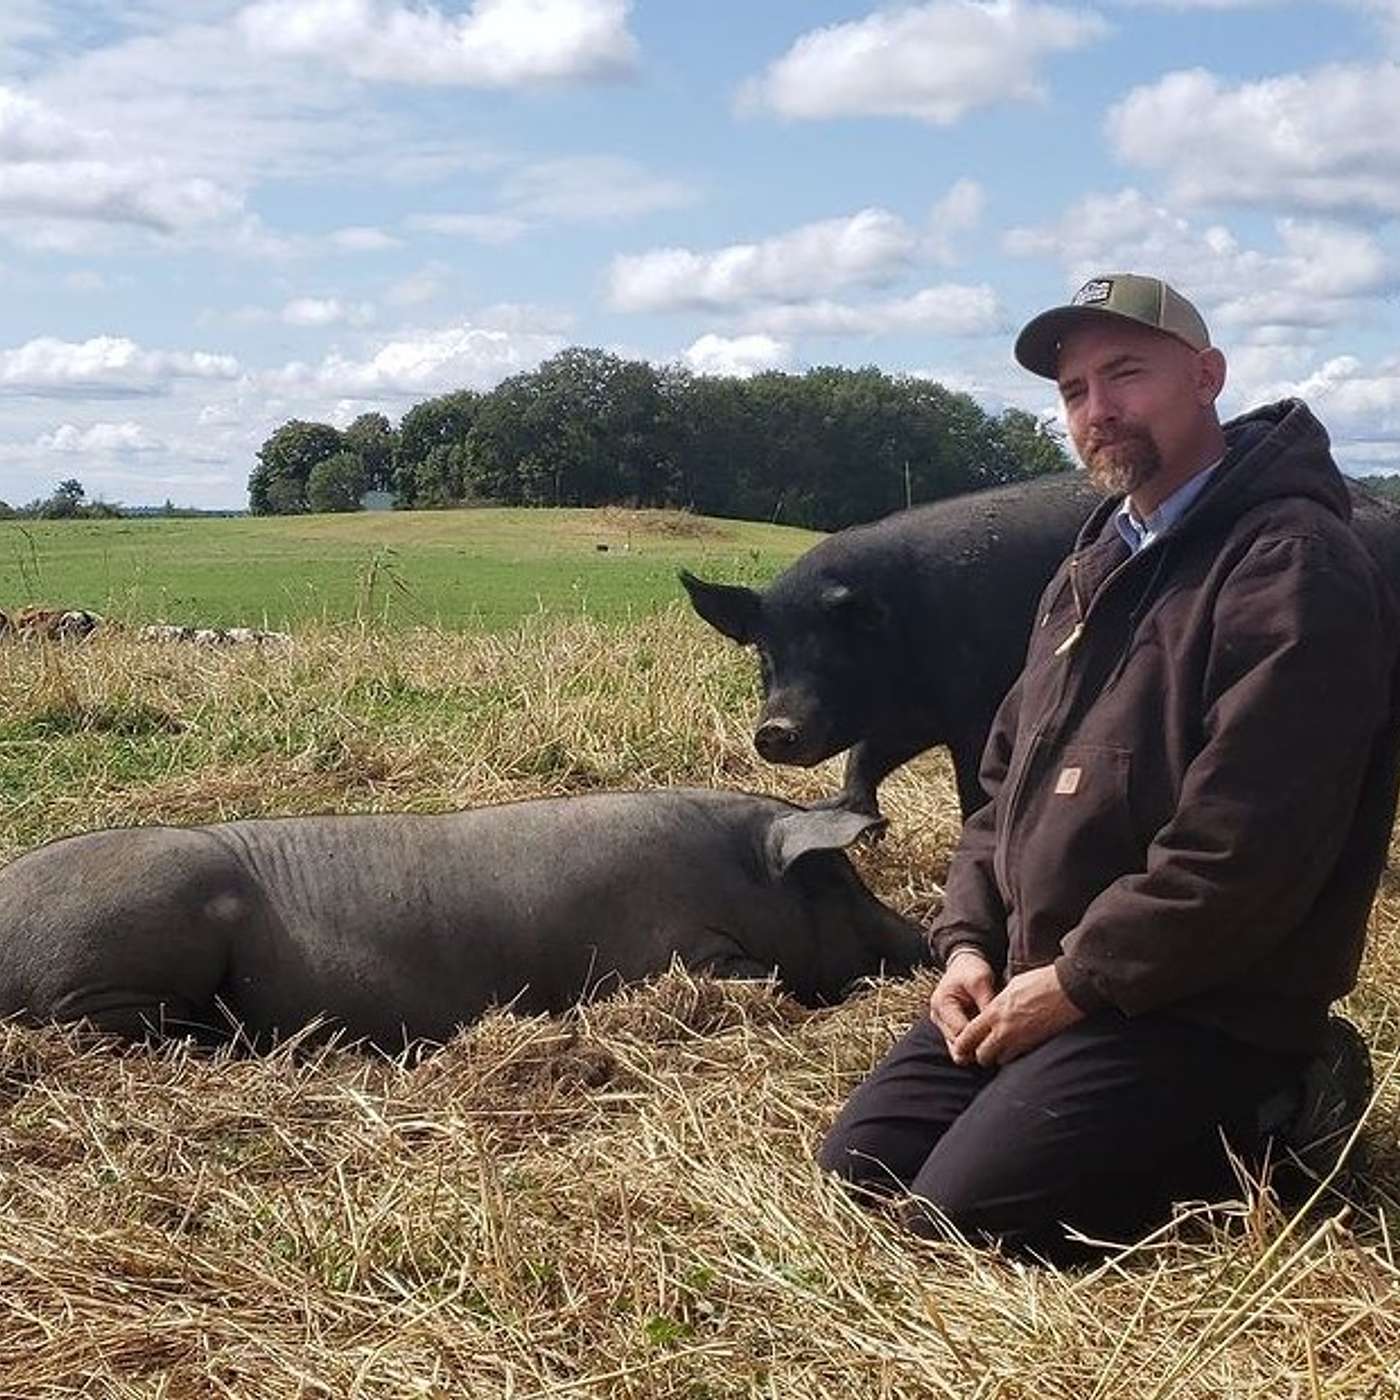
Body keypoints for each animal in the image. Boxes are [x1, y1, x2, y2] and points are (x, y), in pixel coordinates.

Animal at [0, 789, 927, 1051]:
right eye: (839, 879)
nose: (922, 939)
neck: (736, 878)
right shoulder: (668, 951)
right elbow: (758, 981)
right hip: (121, 950)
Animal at [682, 472, 1400, 819]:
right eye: (765, 655)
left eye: (834, 651)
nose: (775, 730)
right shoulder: (910, 717)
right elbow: (865, 760)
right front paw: (841, 812)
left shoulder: (974, 710)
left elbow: (974, 788)